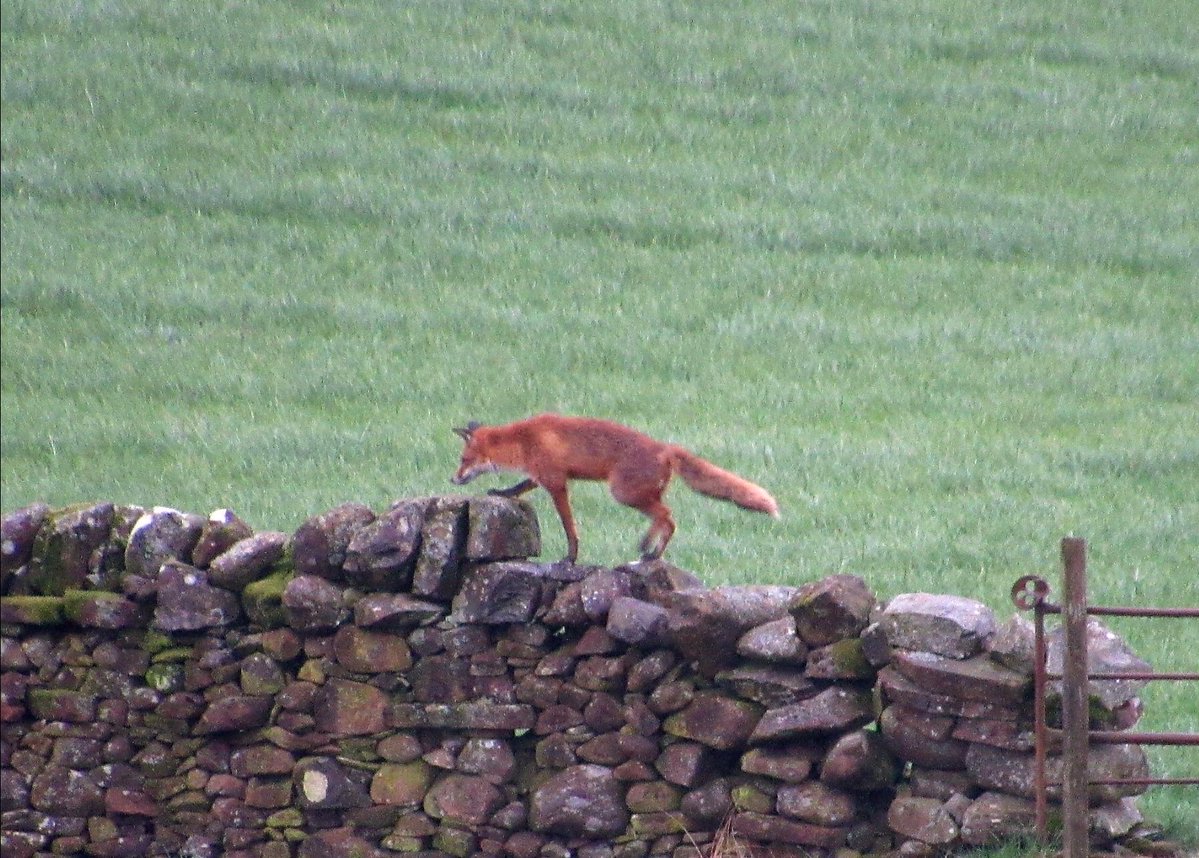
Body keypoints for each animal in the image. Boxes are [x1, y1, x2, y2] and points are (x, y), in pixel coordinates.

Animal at [450, 414, 776, 563]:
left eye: (463, 460)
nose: (454, 479)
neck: (523, 440)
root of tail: (665, 448)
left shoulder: (557, 483)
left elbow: (570, 528)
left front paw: (570, 557)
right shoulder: (542, 476)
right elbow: (520, 487)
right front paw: (502, 493)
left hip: (624, 493)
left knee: (667, 516)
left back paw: (647, 547)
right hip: (642, 494)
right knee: (668, 519)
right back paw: (653, 554)